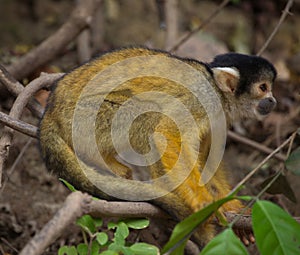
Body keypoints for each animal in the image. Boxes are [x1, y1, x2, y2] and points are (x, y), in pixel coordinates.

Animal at [38, 46, 276, 248]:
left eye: (270, 89)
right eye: (263, 88)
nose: (273, 100)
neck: (218, 92)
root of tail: (51, 109)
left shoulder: (217, 118)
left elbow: (206, 159)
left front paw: (232, 206)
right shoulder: (202, 99)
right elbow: (167, 133)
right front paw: (203, 203)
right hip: (85, 117)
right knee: (149, 115)